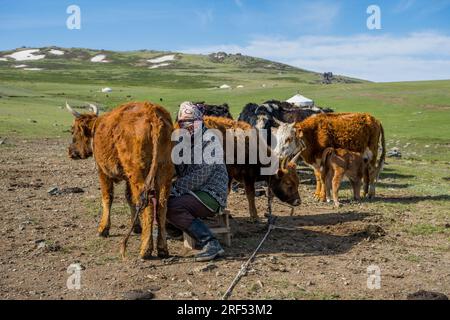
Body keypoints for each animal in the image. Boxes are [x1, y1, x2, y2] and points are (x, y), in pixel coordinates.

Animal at [66, 101, 175, 258]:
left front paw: (103, 228)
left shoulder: (102, 170)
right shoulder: (127, 178)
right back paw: (162, 248)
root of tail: (153, 114)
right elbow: (130, 198)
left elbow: (107, 197)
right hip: (164, 169)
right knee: (161, 205)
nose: (70, 152)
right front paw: (136, 226)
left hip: (138, 172)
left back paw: (145, 249)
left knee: (148, 204)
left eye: (73, 131)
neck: (96, 129)